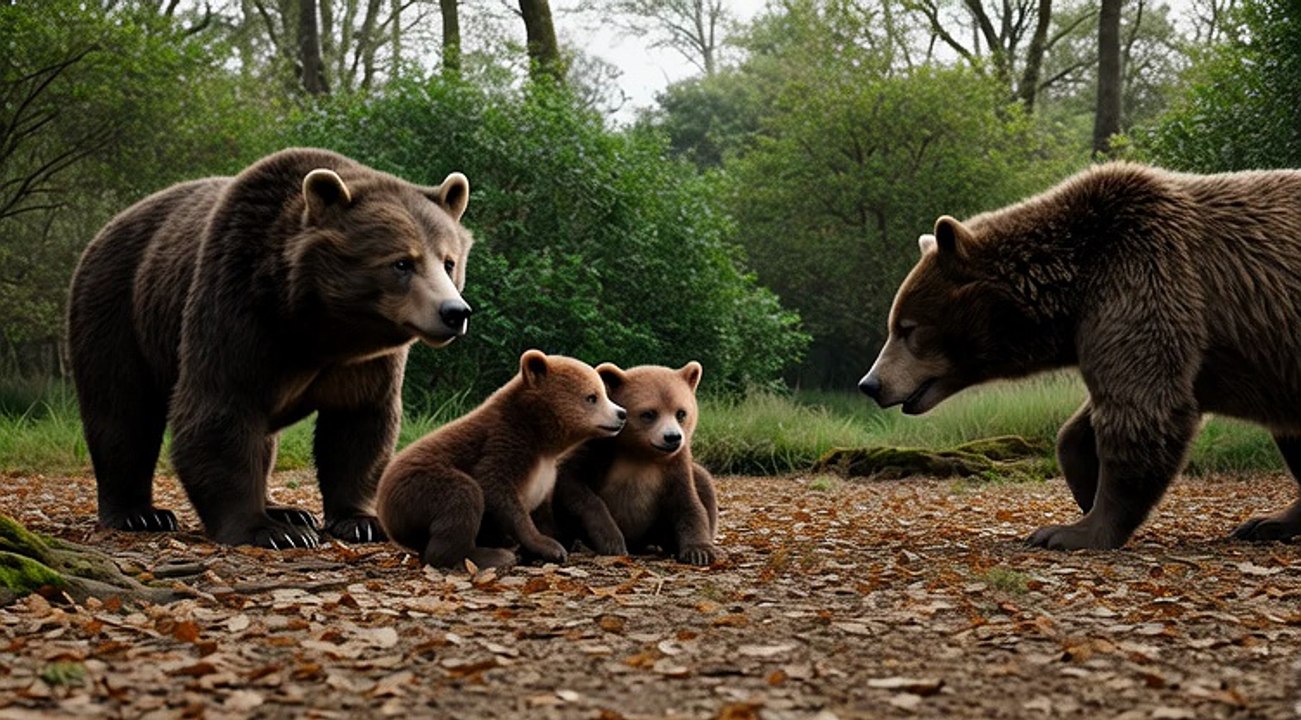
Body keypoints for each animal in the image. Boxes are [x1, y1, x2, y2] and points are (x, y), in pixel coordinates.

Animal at [67, 148, 473, 549]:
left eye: (448, 262)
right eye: (402, 262)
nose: (454, 312)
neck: (318, 325)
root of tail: (105, 230)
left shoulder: (366, 362)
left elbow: (359, 424)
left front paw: (361, 520)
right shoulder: (237, 307)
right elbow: (219, 410)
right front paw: (267, 530)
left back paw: (288, 510)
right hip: (118, 307)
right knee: (121, 411)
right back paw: (139, 514)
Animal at [376, 350, 627, 570]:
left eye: (604, 393)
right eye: (592, 397)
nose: (621, 414)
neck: (539, 437)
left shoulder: (547, 473)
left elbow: (543, 510)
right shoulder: (502, 443)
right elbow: (497, 491)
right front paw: (550, 547)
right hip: (414, 490)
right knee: (462, 495)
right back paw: (489, 555)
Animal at [550, 362, 722, 566]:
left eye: (681, 413)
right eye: (648, 414)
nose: (672, 437)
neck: (639, 454)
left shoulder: (674, 466)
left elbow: (689, 504)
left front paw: (700, 551)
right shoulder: (598, 451)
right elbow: (572, 483)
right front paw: (612, 542)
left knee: (703, 480)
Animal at [858, 162, 1301, 550]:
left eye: (908, 328)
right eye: (895, 324)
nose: (871, 383)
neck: (1073, 290)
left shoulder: (1143, 278)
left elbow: (1144, 408)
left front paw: (1070, 531)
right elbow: (1083, 426)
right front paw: (1085, 491)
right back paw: (1269, 522)